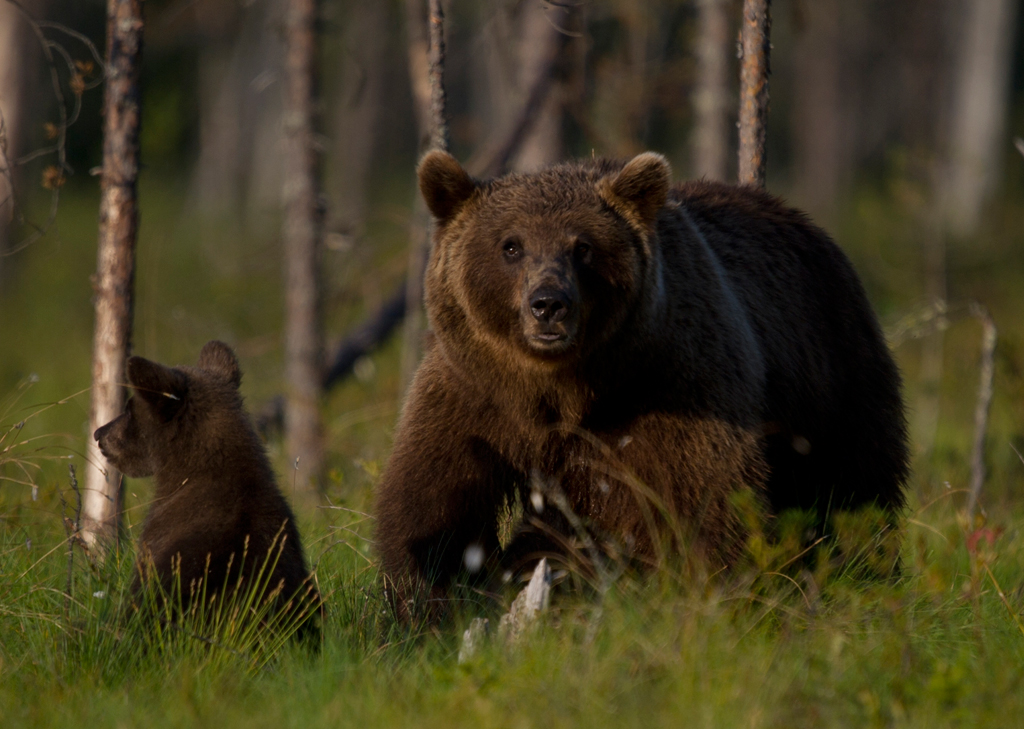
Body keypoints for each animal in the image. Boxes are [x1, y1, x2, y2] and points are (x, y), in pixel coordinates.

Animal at [374, 150, 909, 616]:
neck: (560, 390)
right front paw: (429, 603)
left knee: (854, 490)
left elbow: (701, 502)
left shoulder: (668, 390)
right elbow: (431, 504)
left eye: (583, 247)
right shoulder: (472, 397)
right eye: (511, 245)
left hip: (832, 379)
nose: (548, 304)